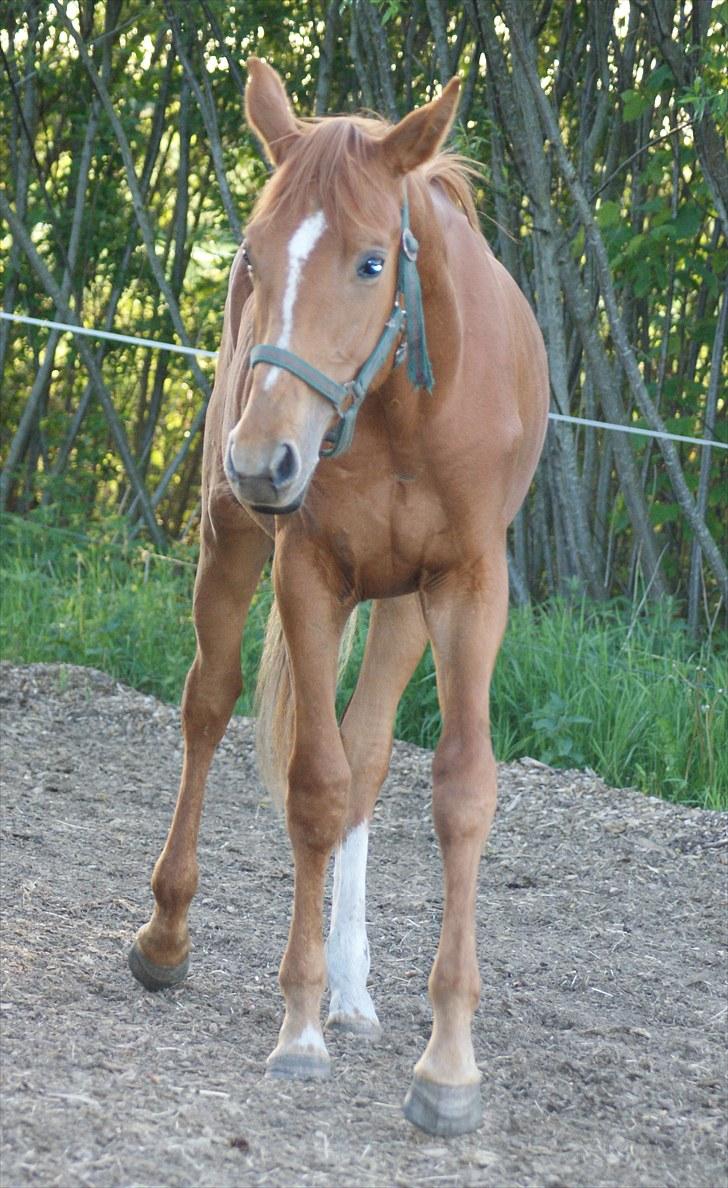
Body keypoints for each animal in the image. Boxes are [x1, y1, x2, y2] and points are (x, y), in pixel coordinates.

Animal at [127, 60, 546, 1135]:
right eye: (252, 256)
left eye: (369, 263)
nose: (265, 459)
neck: (401, 407)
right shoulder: (307, 573)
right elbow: (311, 787)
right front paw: (299, 1027)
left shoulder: (468, 590)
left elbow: (457, 789)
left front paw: (447, 1062)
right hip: (231, 546)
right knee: (209, 703)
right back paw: (167, 934)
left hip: (401, 609)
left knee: (367, 758)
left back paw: (357, 992)